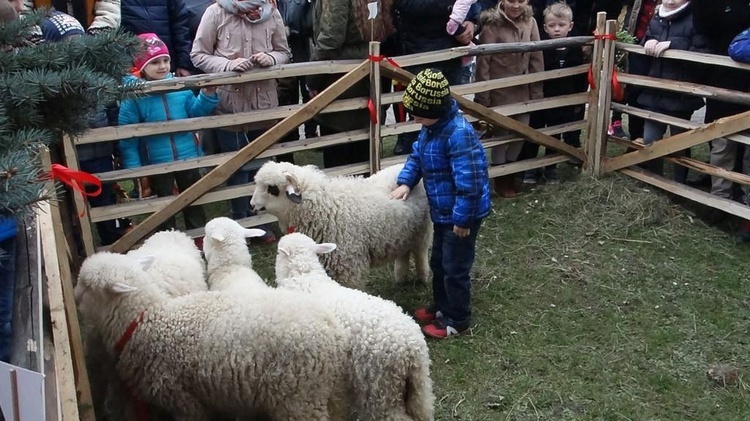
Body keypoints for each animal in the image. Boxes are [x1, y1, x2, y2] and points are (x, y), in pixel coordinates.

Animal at [73, 251, 350, 420]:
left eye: (87, 285)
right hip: (327, 392)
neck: (147, 320)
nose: (75, 297)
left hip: (299, 395)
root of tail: (331, 329)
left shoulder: (183, 399)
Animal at [251, 162, 432, 290]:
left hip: (422, 231)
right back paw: (400, 278)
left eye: (272, 189)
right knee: (404, 252)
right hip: (404, 232)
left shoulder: (349, 265)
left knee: (420, 253)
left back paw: (423, 278)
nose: (252, 205)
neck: (325, 205)